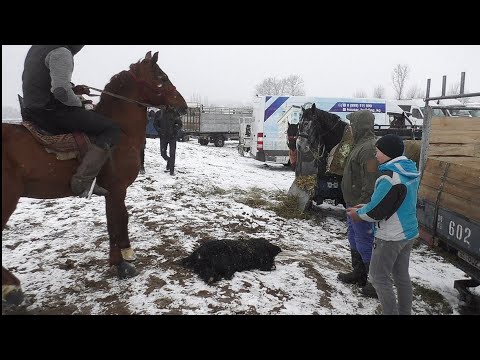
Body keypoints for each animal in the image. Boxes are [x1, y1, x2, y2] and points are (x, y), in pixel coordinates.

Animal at [2, 50, 188, 304]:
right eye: (161, 77)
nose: (183, 106)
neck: (122, 132)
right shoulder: (116, 189)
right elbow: (115, 223)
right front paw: (120, 264)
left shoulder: (115, 191)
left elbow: (120, 219)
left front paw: (125, 253)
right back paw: (12, 288)